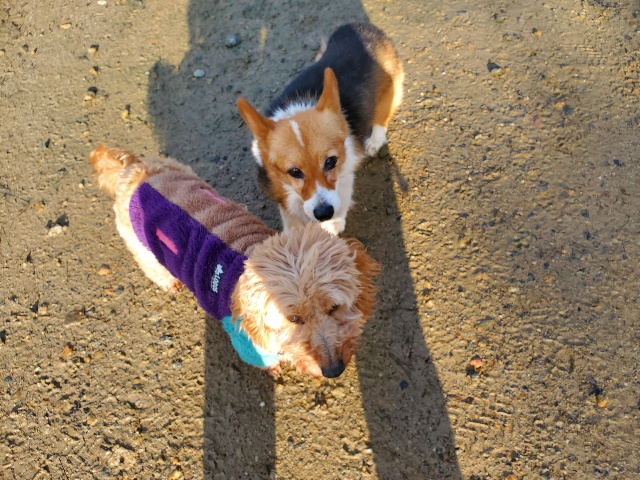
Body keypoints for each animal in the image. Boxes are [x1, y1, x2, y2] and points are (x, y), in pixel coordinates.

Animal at [90, 145, 378, 378]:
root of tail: (132, 167)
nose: (334, 370)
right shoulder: (248, 343)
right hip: (141, 245)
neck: (250, 254)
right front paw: (275, 368)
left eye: (335, 307)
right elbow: (266, 359)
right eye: (294, 318)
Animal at [237, 22, 404, 235]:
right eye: (294, 172)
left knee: (383, 114)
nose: (324, 213)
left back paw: (375, 140)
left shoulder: (345, 172)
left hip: (391, 88)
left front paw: (332, 225)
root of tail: (365, 27)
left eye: (331, 161)